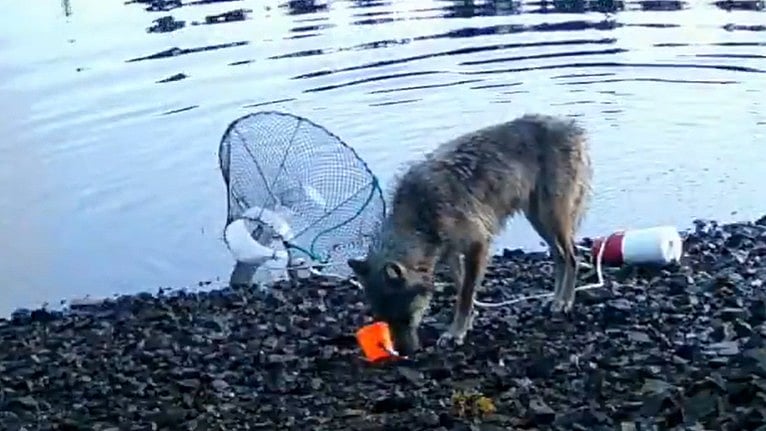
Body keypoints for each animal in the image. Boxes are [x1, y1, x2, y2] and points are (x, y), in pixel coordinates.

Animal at [347, 114, 593, 355]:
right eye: (384, 320)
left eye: (405, 317)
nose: (404, 353)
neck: (421, 214)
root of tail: (573, 127)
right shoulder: (451, 253)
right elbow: (461, 286)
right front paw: (468, 322)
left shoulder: (478, 246)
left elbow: (465, 294)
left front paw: (456, 333)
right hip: (539, 219)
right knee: (560, 255)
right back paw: (556, 299)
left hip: (550, 217)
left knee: (572, 255)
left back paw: (564, 302)